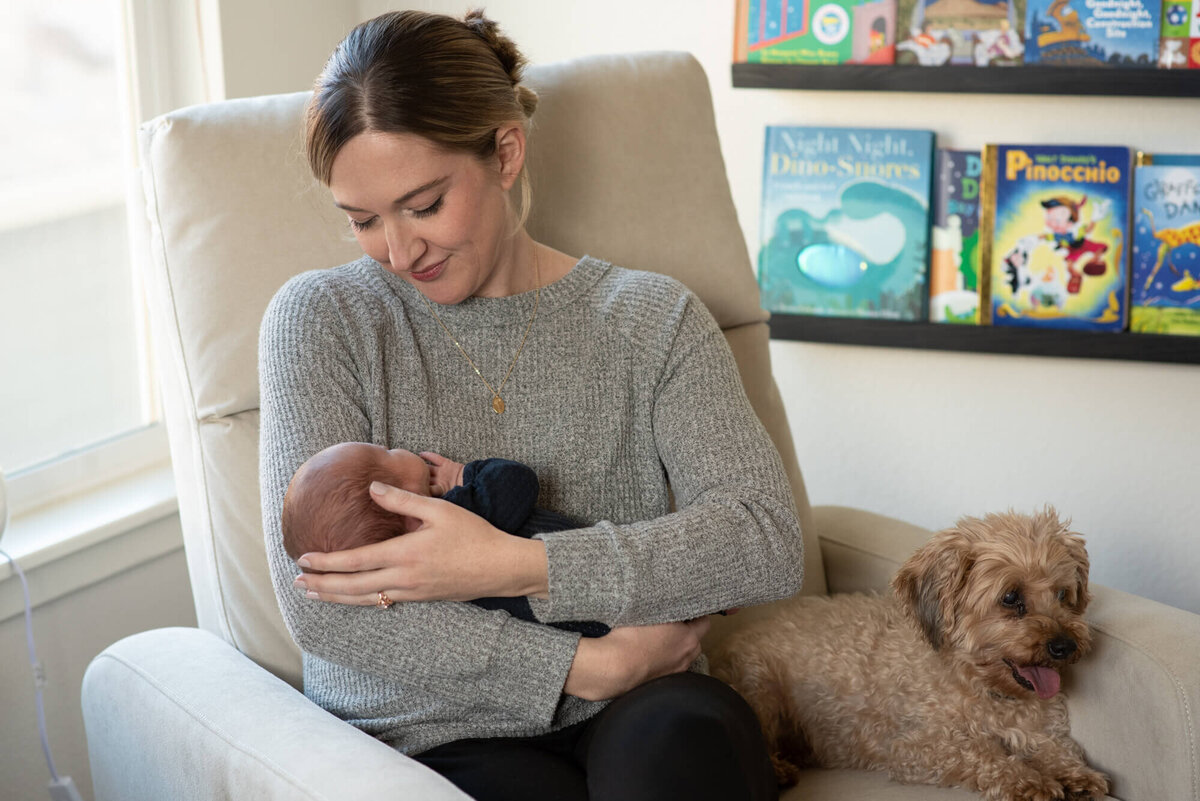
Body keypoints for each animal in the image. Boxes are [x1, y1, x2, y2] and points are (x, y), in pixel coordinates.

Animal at [705, 510, 1108, 796]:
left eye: (1063, 594)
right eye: (1010, 597)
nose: (1065, 646)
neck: (984, 687)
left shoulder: (1034, 729)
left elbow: (1055, 747)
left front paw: (1076, 774)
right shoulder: (913, 748)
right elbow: (982, 753)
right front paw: (1029, 780)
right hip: (762, 691)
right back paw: (780, 771)